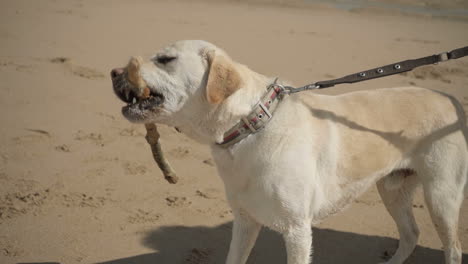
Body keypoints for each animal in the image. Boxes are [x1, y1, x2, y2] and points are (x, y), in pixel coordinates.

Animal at [110, 39, 468, 264]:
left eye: (165, 60)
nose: (114, 72)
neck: (250, 125)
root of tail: (452, 99)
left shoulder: (297, 230)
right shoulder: (245, 220)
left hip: (441, 194)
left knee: (451, 248)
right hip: (393, 188)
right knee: (411, 235)